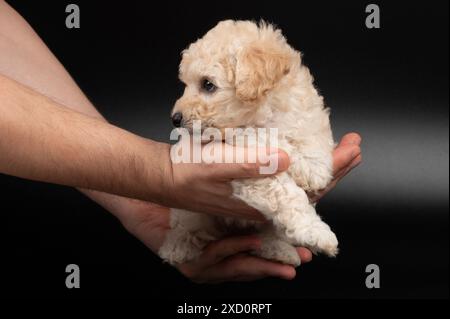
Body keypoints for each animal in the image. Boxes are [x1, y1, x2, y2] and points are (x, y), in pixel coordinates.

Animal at [158, 20, 338, 268]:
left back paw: (279, 251)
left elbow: (311, 141)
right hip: (190, 210)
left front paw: (311, 170)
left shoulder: (306, 116)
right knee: (187, 226)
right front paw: (317, 233)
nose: (174, 118)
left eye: (208, 85)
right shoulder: (250, 167)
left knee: (268, 235)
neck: (264, 113)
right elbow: (285, 193)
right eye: (186, 84)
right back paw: (177, 247)